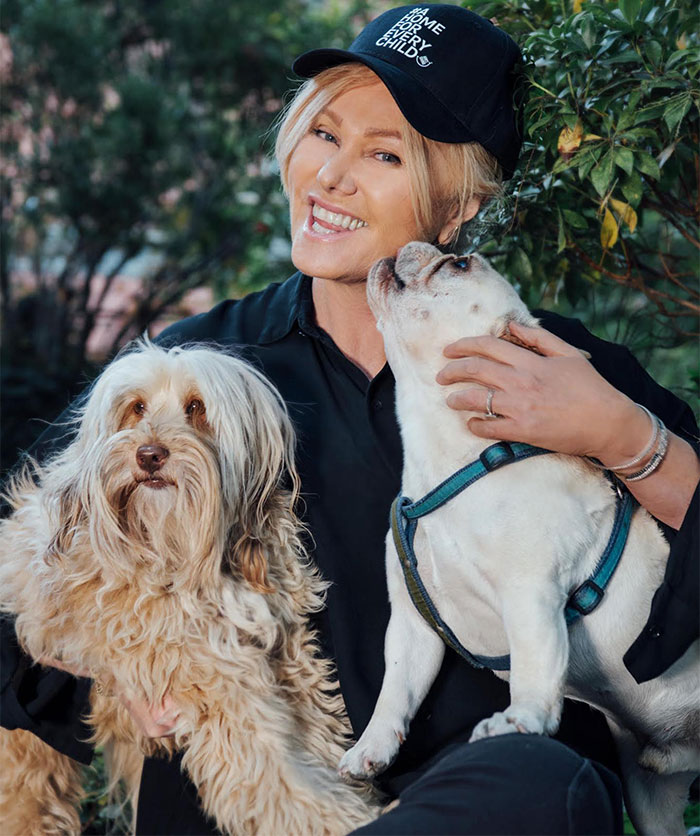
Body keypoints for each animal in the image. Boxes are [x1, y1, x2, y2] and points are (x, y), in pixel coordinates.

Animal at [0, 342, 378, 836]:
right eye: (137, 407)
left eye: (197, 408)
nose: (149, 455)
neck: (186, 551)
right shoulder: (212, 680)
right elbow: (275, 776)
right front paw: (348, 820)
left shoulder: (285, 658)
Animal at [338, 242, 696, 836]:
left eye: (458, 264)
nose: (412, 246)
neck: (453, 453)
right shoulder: (413, 621)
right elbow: (397, 687)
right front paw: (371, 747)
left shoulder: (530, 591)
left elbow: (532, 662)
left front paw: (522, 718)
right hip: (652, 802)